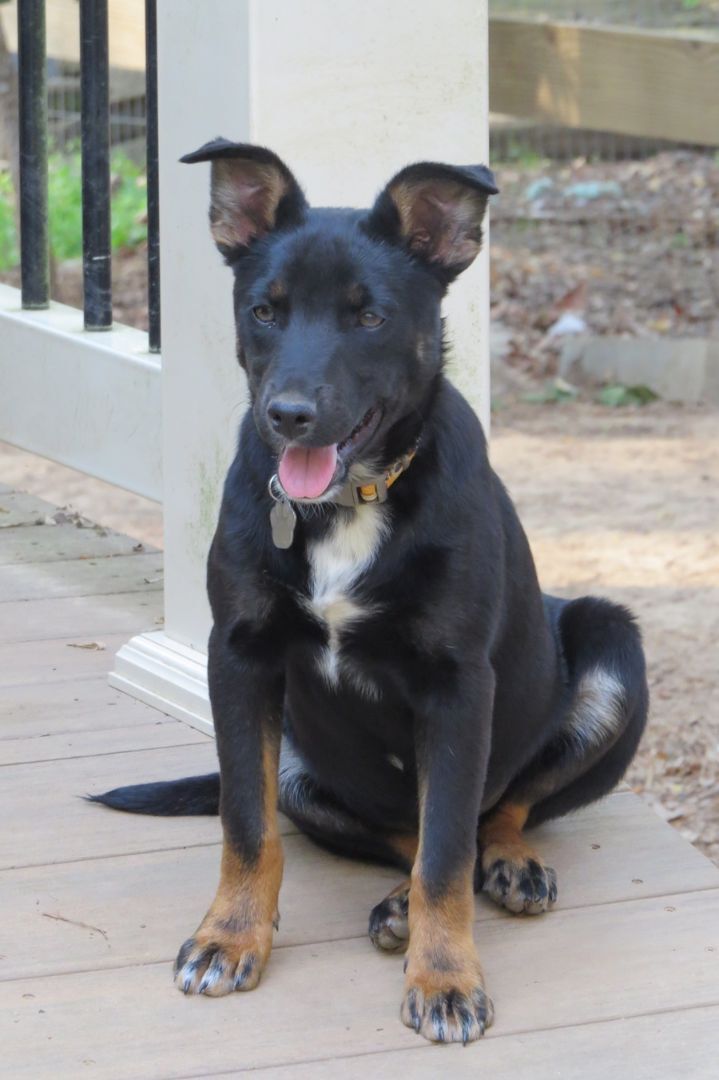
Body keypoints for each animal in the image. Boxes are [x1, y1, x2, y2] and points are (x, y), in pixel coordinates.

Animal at [92, 139, 647, 1041]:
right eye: (264, 310)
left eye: (370, 317)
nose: (288, 415)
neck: (349, 503)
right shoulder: (238, 658)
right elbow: (247, 824)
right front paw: (229, 937)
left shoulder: (457, 686)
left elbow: (448, 851)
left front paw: (446, 977)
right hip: (303, 759)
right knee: (399, 834)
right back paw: (392, 904)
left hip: (612, 647)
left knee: (491, 814)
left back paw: (507, 866)